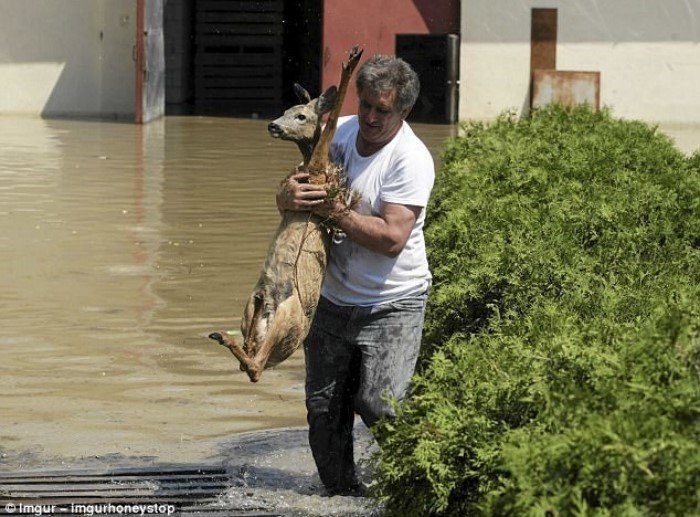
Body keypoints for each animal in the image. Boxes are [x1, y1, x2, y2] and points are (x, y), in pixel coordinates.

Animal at [208, 46, 364, 380]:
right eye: (286, 109)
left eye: (301, 115)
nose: (273, 125)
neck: (309, 164)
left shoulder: (318, 174)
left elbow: (330, 124)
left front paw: (351, 61)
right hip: (256, 311)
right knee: (253, 363)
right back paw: (225, 337)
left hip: (288, 316)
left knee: (255, 367)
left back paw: (223, 337)